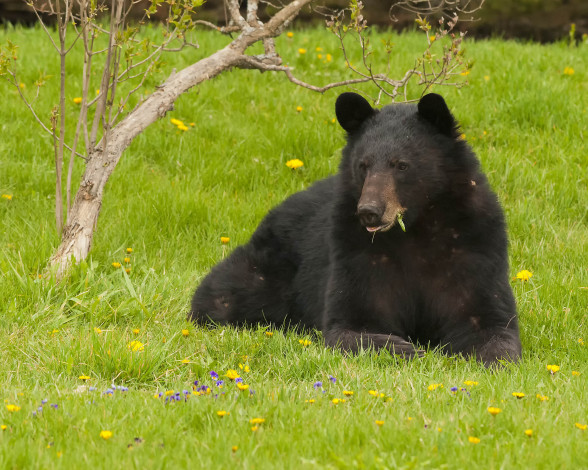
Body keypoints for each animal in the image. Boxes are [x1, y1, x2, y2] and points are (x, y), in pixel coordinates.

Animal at [187, 90, 520, 366]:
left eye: (402, 164)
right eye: (364, 164)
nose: (369, 211)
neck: (415, 229)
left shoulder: (473, 245)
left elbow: (487, 318)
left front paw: (494, 356)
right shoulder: (356, 252)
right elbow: (352, 321)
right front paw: (402, 347)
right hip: (268, 267)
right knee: (222, 293)